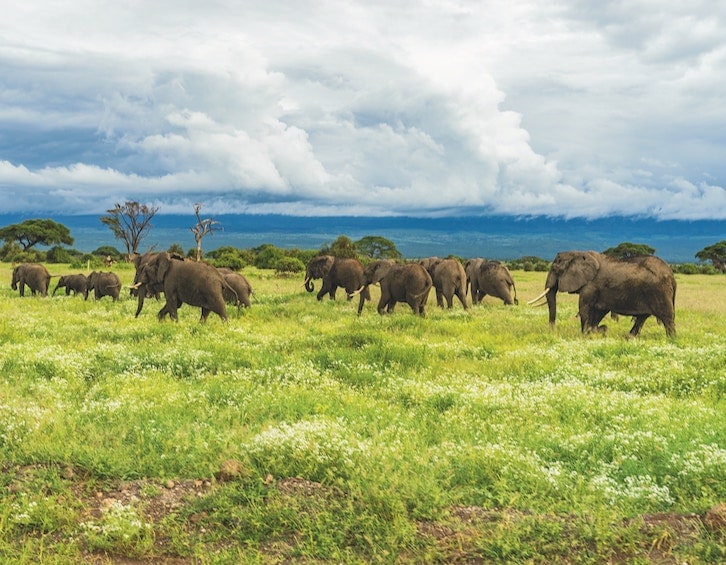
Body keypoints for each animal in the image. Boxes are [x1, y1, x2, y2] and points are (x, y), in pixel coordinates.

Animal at [528, 250, 676, 338]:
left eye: (554, 269)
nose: (553, 332)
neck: (578, 253)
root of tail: (671, 274)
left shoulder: (591, 286)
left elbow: (585, 309)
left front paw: (586, 335)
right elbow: (599, 310)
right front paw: (598, 331)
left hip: (659, 291)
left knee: (667, 317)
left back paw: (671, 339)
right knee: (642, 317)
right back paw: (629, 337)